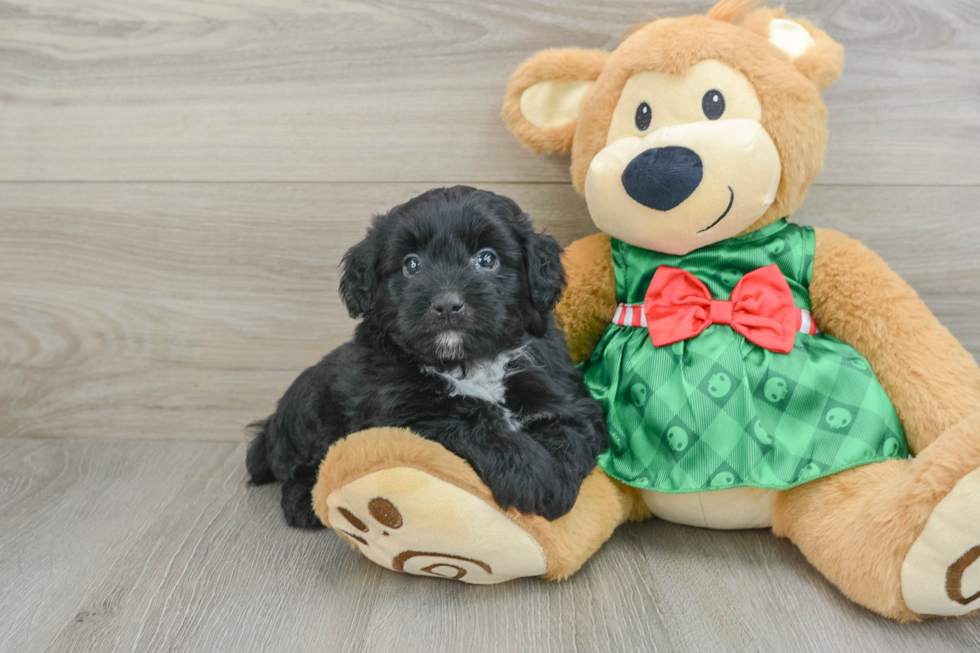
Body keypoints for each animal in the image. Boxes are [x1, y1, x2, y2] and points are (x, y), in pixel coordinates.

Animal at [247, 183, 604, 524]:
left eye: (487, 259)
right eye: (411, 265)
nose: (447, 304)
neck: (466, 362)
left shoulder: (560, 388)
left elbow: (571, 429)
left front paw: (555, 480)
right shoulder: (406, 416)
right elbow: (471, 421)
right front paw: (533, 473)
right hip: (311, 401)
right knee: (298, 467)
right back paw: (303, 503)